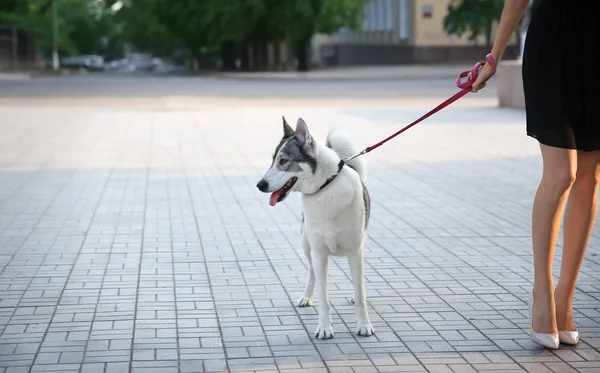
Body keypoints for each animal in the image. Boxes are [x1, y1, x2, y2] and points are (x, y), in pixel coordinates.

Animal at [255, 117, 372, 340]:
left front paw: (363, 325)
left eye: (283, 161)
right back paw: (306, 297)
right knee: (311, 273)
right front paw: (325, 328)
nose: (260, 185)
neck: (325, 187)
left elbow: (361, 292)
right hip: (306, 245)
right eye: (273, 160)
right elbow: (323, 297)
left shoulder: (356, 251)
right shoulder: (319, 253)